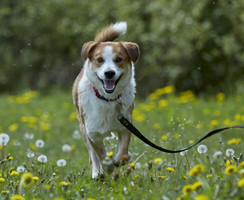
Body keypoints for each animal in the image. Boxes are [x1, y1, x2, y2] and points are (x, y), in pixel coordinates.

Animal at [72, 21, 139, 178]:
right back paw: (97, 173)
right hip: (83, 127)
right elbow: (101, 156)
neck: (107, 99)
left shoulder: (125, 125)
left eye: (118, 59)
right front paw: (107, 167)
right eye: (99, 60)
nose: (109, 73)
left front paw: (120, 160)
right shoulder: (92, 132)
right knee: (92, 157)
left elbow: (122, 153)